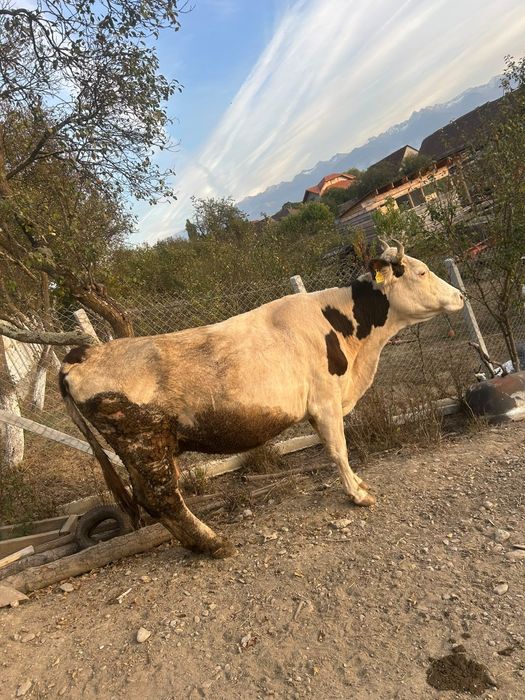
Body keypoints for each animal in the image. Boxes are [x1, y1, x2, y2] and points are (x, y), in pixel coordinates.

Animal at [59, 240, 463, 558]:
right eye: (422, 272)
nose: (461, 296)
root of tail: (83, 354)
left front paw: (359, 485)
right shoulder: (325, 401)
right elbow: (338, 450)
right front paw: (358, 496)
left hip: (150, 448)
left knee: (154, 499)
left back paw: (197, 544)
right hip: (144, 443)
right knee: (162, 498)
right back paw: (215, 544)